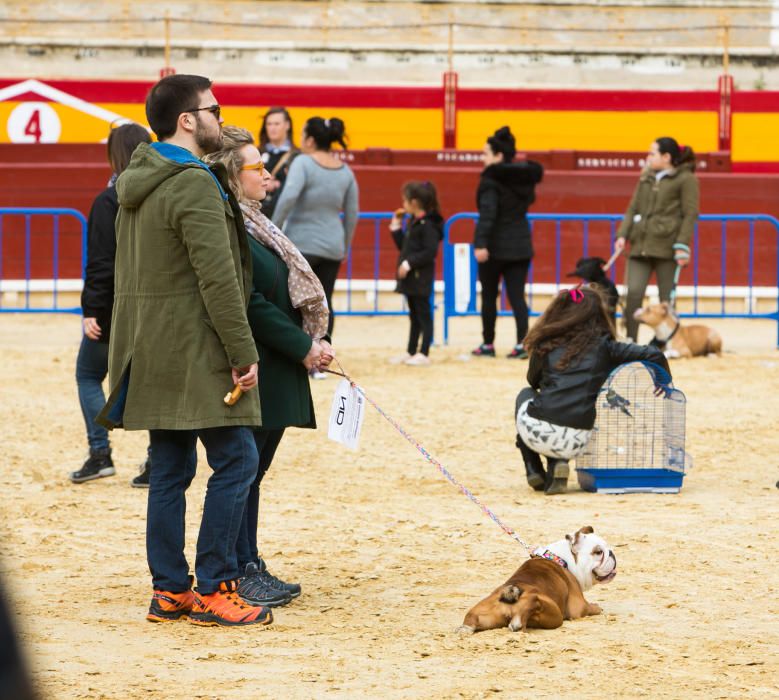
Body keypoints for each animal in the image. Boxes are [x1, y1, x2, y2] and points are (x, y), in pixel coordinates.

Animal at [458, 524, 616, 636]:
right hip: (554, 613)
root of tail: (509, 593)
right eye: (598, 552)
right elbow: (591, 608)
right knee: (533, 602)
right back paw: (518, 621)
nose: (612, 554)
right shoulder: (579, 606)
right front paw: (596, 606)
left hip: (479, 613)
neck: (562, 558)